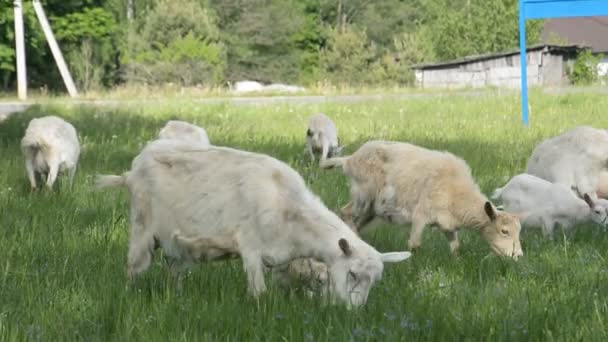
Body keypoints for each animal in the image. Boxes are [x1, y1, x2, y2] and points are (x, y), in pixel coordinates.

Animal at [95, 139, 410, 308]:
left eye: (375, 281)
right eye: (353, 274)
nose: (354, 312)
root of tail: (133, 167)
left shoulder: (281, 259)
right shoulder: (250, 248)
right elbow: (258, 292)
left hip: (176, 243)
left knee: (174, 270)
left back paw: (178, 299)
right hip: (142, 228)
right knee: (134, 268)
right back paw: (129, 294)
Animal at [320, 140, 524, 260]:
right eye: (504, 231)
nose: (519, 255)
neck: (458, 194)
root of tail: (350, 159)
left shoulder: (448, 225)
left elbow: (456, 248)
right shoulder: (420, 215)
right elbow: (415, 245)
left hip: (372, 209)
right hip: (363, 195)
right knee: (345, 213)